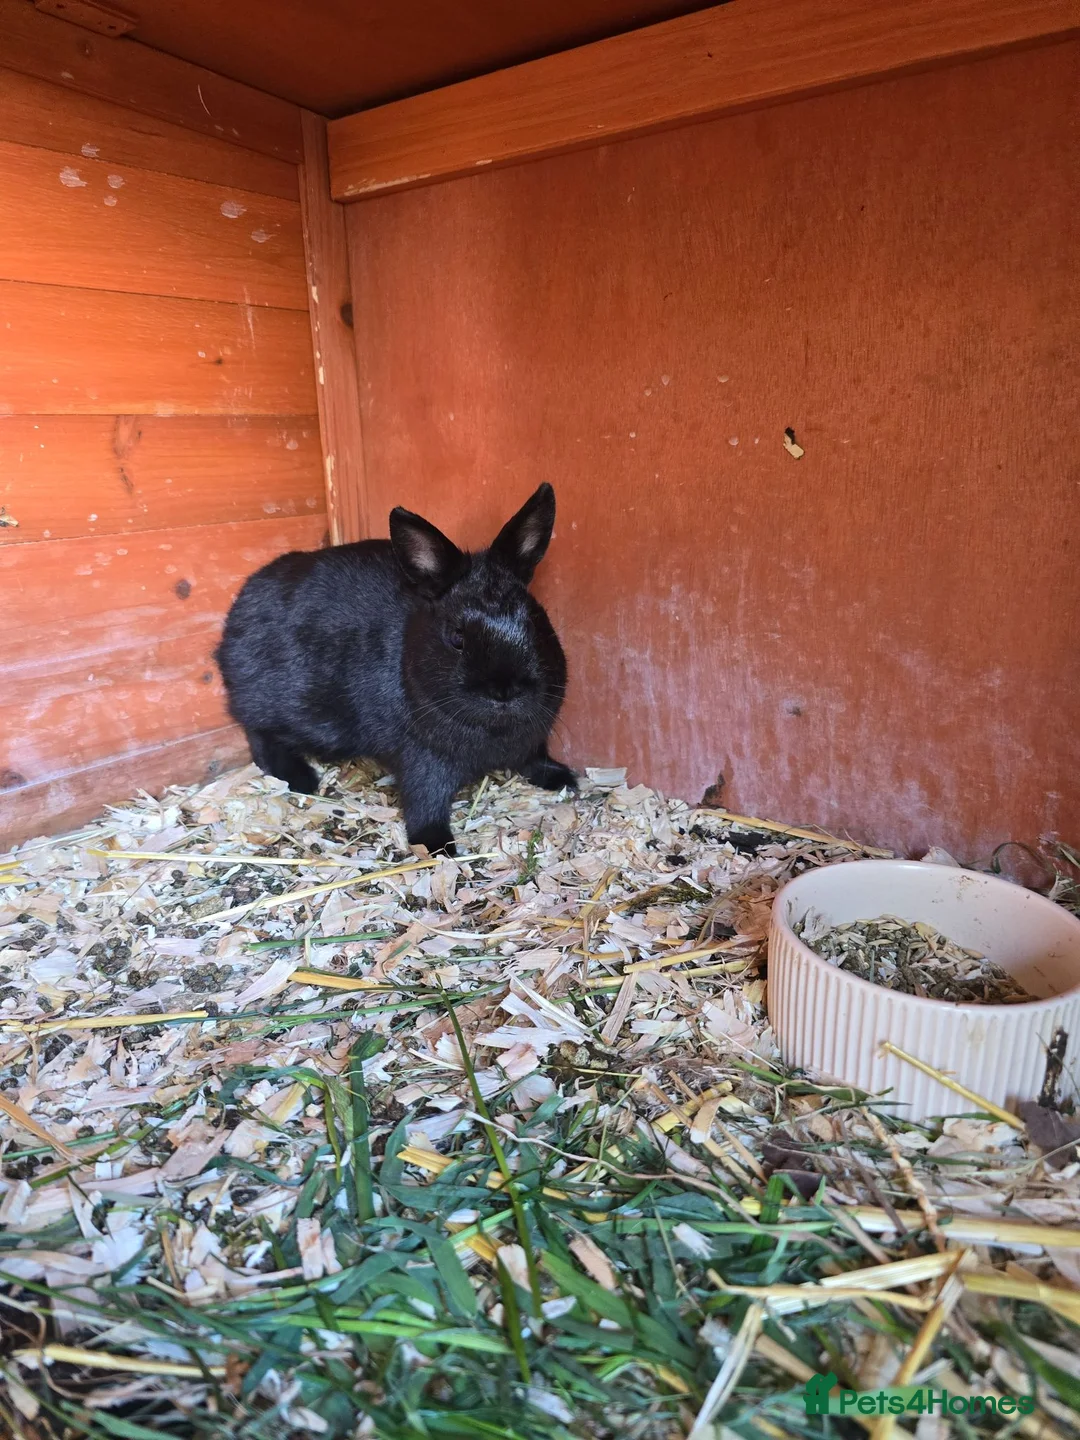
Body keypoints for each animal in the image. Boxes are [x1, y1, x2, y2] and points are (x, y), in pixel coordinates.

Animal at [215, 483, 575, 856]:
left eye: (536, 622)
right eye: (457, 637)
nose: (505, 690)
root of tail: (237, 611)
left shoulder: (533, 739)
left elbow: (534, 758)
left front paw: (561, 777)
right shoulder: (423, 759)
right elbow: (425, 801)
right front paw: (436, 845)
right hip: (284, 709)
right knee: (259, 735)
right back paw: (301, 779)